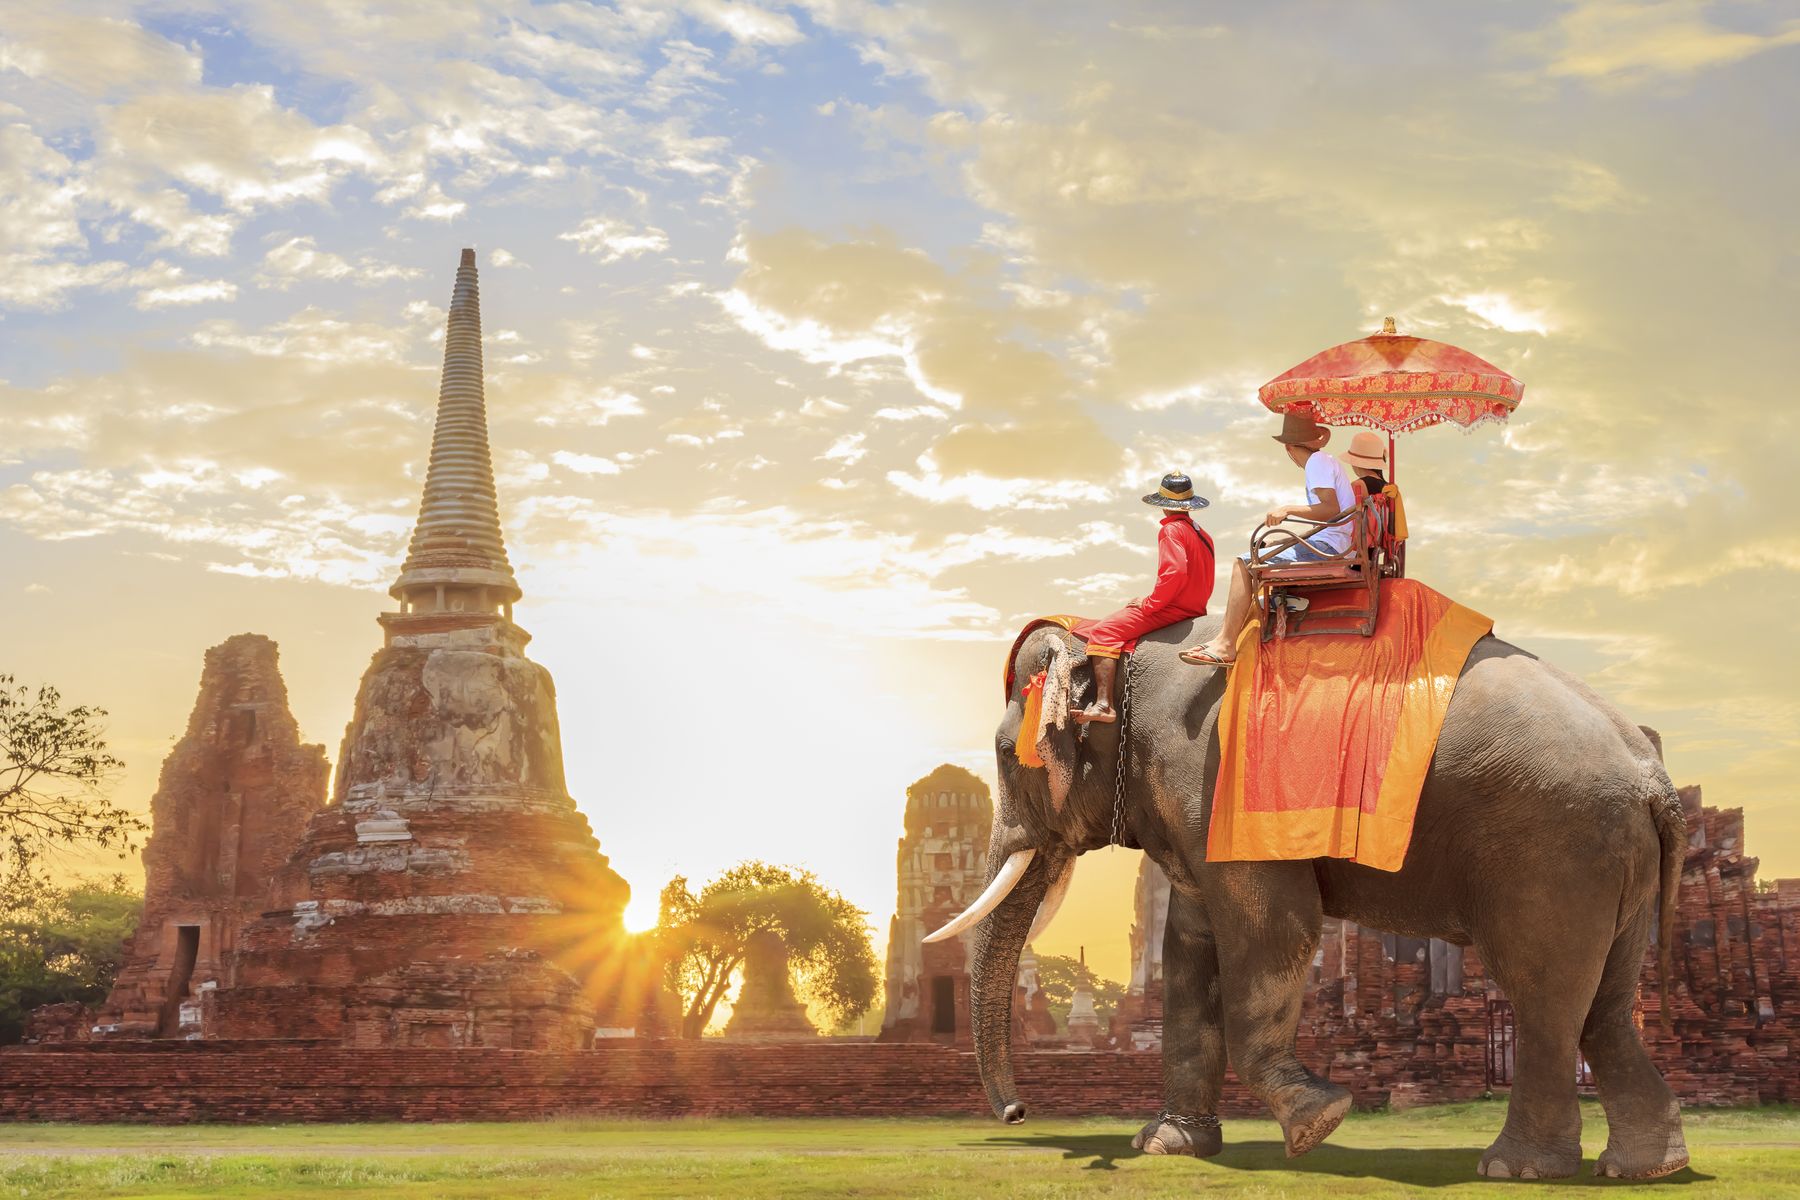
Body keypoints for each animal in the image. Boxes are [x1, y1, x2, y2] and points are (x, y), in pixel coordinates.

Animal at [943, 618, 1684, 1180]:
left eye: (1007, 756)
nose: (1017, 1113)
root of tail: (1653, 774)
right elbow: (1190, 949)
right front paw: (1168, 1145)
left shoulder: (1214, 784)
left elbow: (1278, 928)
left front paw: (1317, 1122)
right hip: (1611, 857)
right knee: (1605, 1004)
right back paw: (1649, 1167)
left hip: (1552, 850)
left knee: (1544, 997)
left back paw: (1517, 1169)